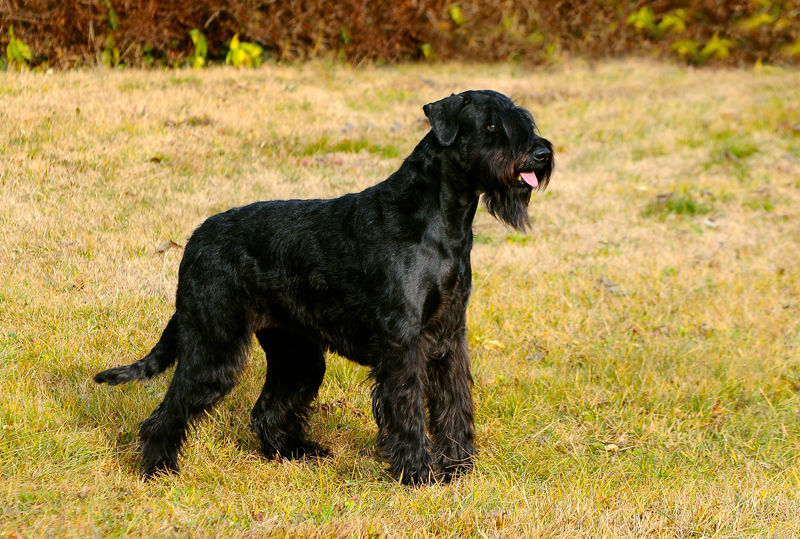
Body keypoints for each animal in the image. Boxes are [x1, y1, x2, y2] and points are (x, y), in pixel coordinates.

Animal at [94, 88, 552, 486]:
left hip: (297, 354)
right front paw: (419, 475)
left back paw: (296, 453)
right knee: (166, 412)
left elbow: (455, 405)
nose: (542, 153)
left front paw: (459, 469)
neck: (441, 220)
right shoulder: (404, 343)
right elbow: (408, 410)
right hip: (214, 346)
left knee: (267, 411)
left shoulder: (449, 336)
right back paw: (158, 470)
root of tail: (193, 242)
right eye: (491, 126)